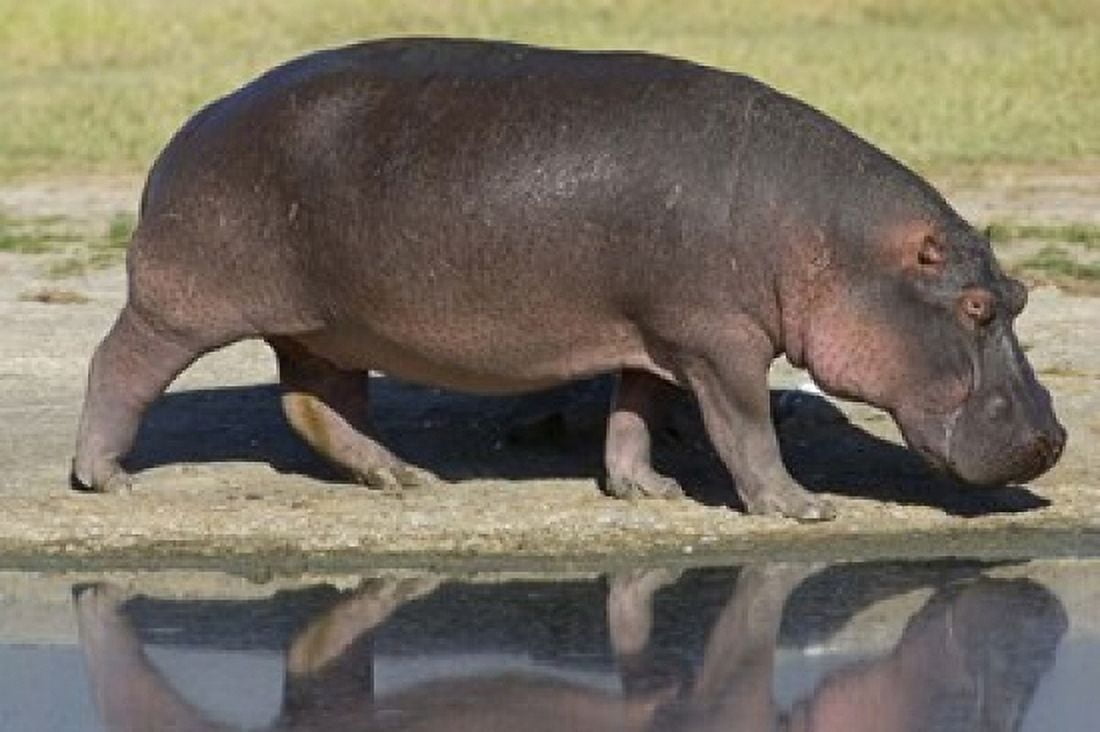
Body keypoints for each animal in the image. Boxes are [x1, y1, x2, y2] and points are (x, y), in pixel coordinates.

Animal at [71, 38, 1065, 520]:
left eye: (1018, 298)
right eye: (977, 306)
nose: (1053, 440)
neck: (832, 235)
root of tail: (193, 122)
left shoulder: (655, 334)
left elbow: (634, 411)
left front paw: (647, 491)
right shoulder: (719, 340)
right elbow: (744, 428)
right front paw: (799, 509)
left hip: (331, 324)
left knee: (317, 406)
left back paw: (410, 481)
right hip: (179, 304)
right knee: (119, 366)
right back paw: (107, 480)